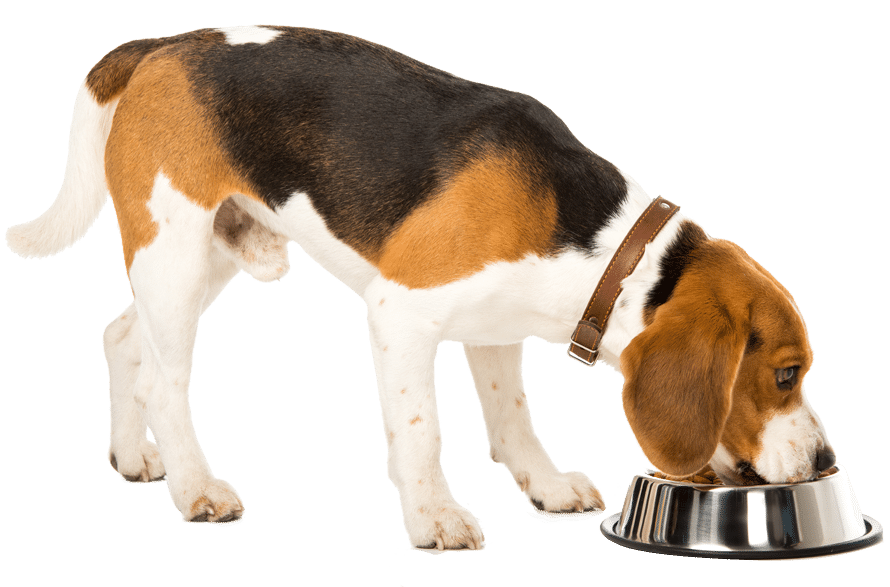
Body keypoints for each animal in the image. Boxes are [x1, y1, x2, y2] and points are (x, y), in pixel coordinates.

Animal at [5, 26, 832, 552]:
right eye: (785, 374)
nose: (824, 459)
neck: (607, 252)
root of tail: (161, 46)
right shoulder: (400, 313)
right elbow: (422, 430)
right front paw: (434, 516)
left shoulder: (495, 328)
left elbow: (513, 420)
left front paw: (543, 486)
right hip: (175, 254)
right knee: (167, 382)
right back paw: (195, 485)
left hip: (201, 258)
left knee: (122, 337)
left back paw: (131, 456)